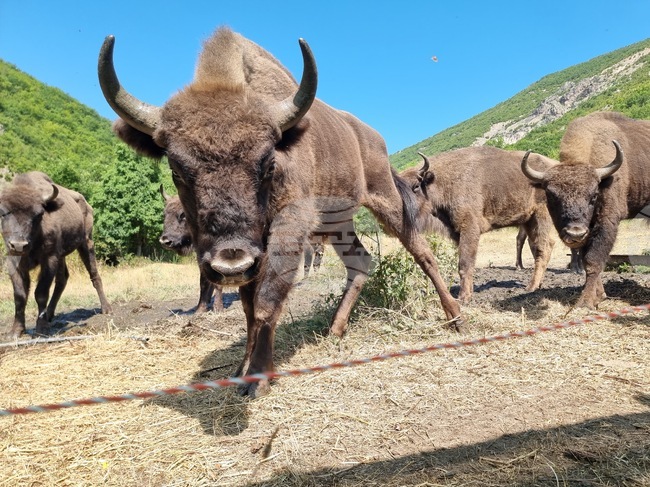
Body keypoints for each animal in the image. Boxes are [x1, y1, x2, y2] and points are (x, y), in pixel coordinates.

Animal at [0, 171, 112, 338]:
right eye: (3, 213)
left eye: (39, 214)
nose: (19, 245)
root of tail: (85, 203)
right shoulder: (14, 262)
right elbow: (19, 296)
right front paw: (15, 332)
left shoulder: (49, 259)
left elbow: (40, 292)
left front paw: (42, 329)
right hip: (62, 256)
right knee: (62, 280)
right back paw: (50, 314)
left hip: (86, 243)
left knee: (94, 275)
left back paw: (106, 309)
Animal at [98, 27, 464, 396]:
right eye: (176, 169)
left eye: (268, 162)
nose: (230, 262)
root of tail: (371, 135)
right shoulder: (254, 249)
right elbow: (248, 308)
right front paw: (242, 370)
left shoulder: (289, 226)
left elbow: (266, 301)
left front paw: (259, 377)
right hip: (339, 223)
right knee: (360, 262)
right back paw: (335, 331)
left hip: (385, 202)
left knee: (421, 252)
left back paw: (455, 317)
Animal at [402, 146, 556, 303]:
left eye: (416, 186)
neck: (442, 181)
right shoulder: (458, 233)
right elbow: (467, 264)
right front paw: (469, 293)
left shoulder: (469, 229)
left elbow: (464, 264)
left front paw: (463, 297)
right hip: (529, 222)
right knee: (543, 245)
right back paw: (538, 284)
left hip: (540, 217)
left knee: (543, 249)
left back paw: (531, 287)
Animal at [521, 111, 650, 308]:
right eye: (551, 196)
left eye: (594, 195)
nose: (575, 233)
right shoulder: (587, 231)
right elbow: (585, 257)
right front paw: (600, 295)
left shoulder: (606, 221)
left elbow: (593, 260)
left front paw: (586, 301)